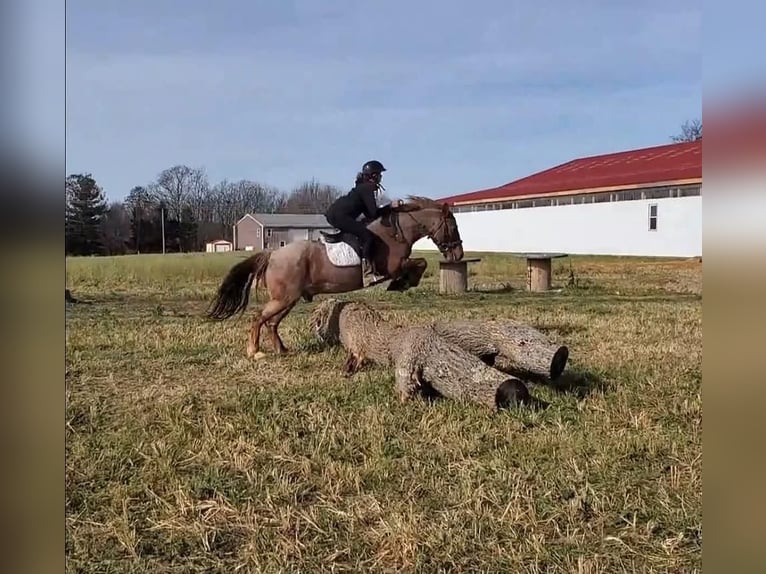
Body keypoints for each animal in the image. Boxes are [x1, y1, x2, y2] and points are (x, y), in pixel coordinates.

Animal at [207, 198, 464, 360]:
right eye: (453, 226)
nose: (458, 255)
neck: (394, 232)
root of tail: (272, 254)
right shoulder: (392, 266)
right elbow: (419, 263)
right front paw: (401, 283)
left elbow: (420, 263)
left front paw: (403, 283)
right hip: (284, 298)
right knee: (258, 318)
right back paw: (255, 351)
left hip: (288, 299)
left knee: (271, 323)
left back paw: (282, 350)